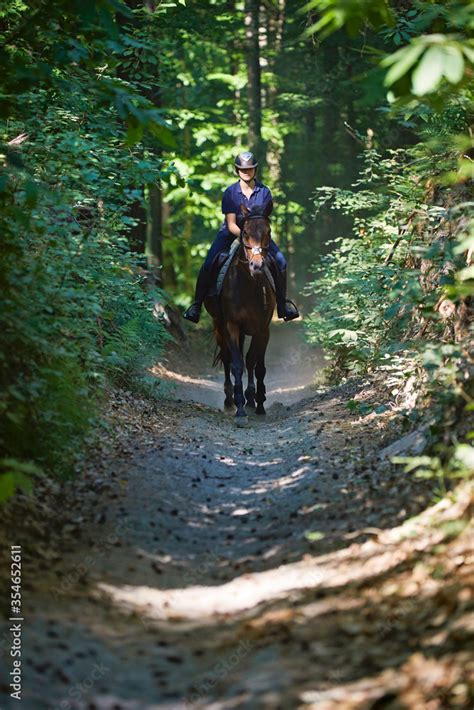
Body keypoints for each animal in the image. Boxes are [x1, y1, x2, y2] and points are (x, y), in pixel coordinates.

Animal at [205, 200, 278, 428]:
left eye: (268, 231)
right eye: (245, 232)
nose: (257, 265)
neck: (248, 286)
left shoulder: (262, 329)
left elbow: (256, 364)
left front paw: (258, 402)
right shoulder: (231, 326)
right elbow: (237, 364)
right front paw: (240, 409)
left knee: (249, 360)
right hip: (219, 327)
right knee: (227, 359)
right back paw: (229, 401)